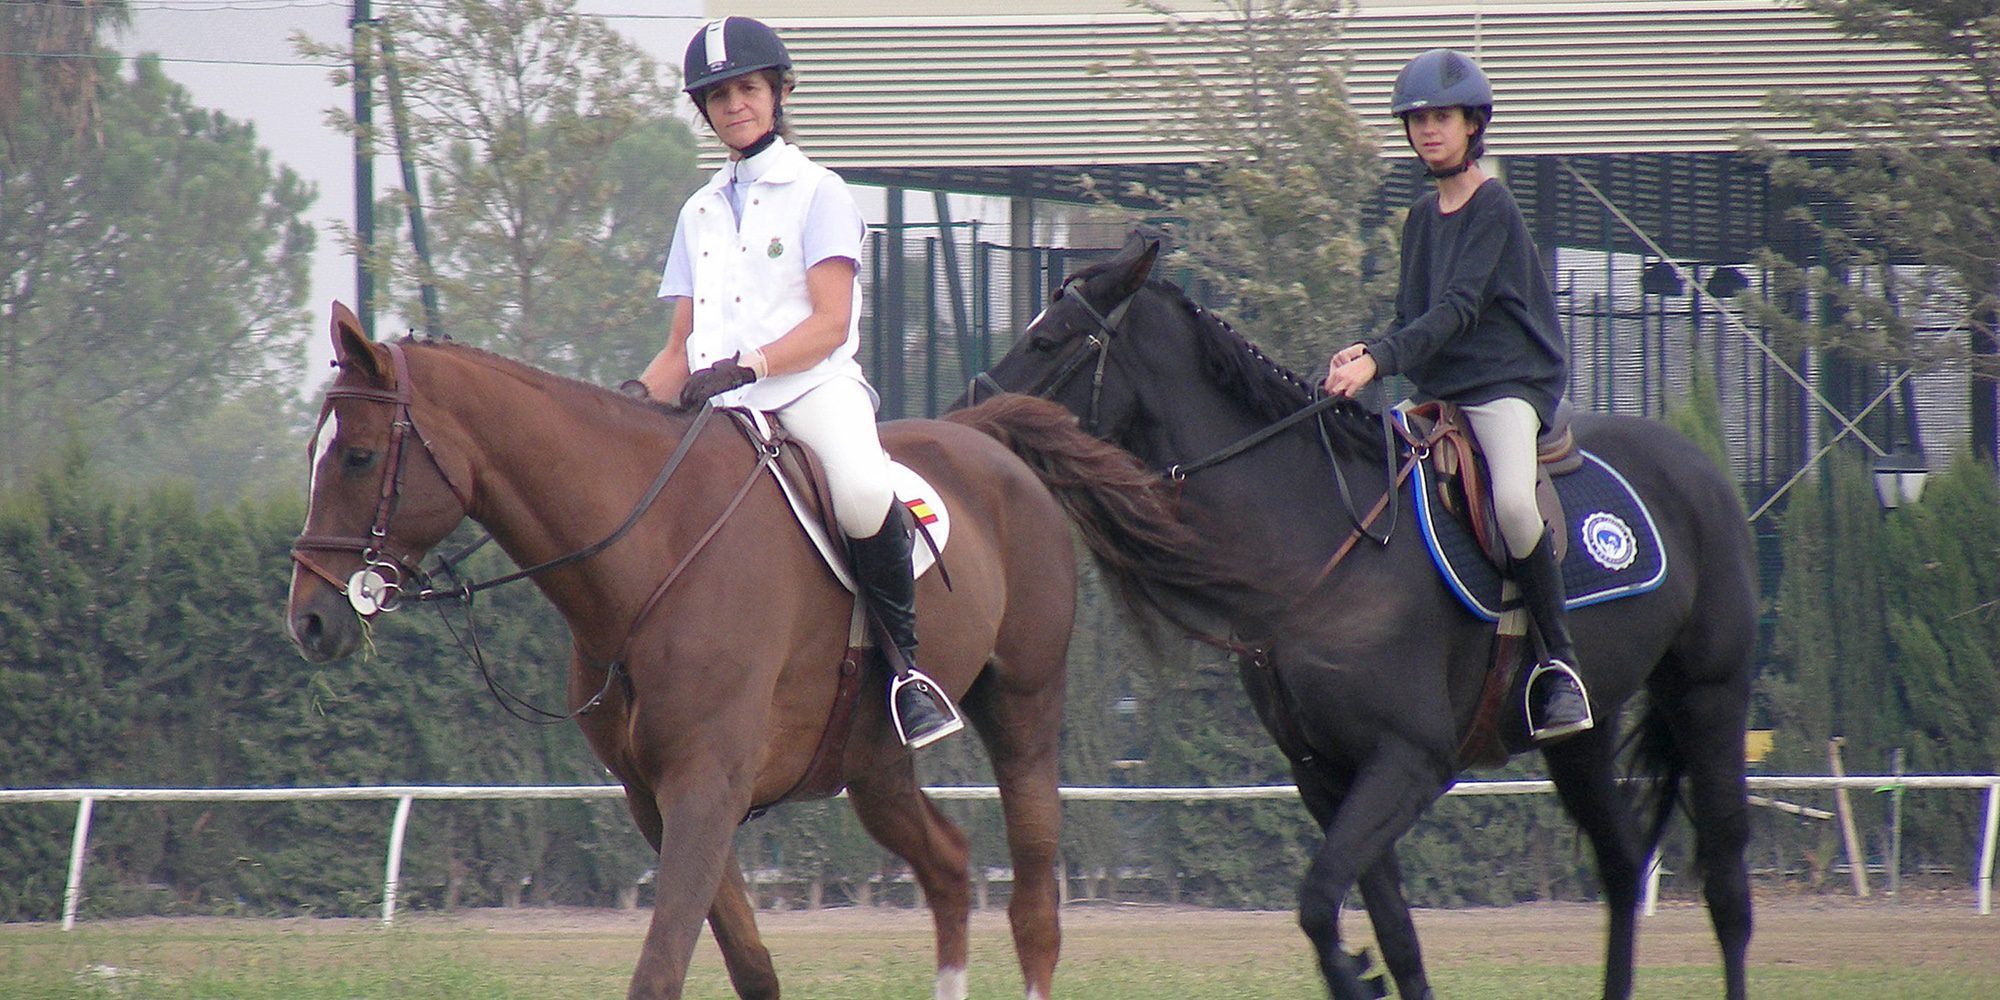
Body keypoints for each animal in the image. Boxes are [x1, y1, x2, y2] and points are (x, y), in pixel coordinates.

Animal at [288, 304, 1224, 1000]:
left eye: (360, 456)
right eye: (313, 455)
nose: (310, 622)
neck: (649, 550)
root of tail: (986, 439)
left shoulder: (706, 787)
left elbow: (661, 971)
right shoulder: (657, 800)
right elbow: (750, 966)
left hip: (1024, 710)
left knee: (1033, 907)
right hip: (873, 764)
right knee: (951, 868)